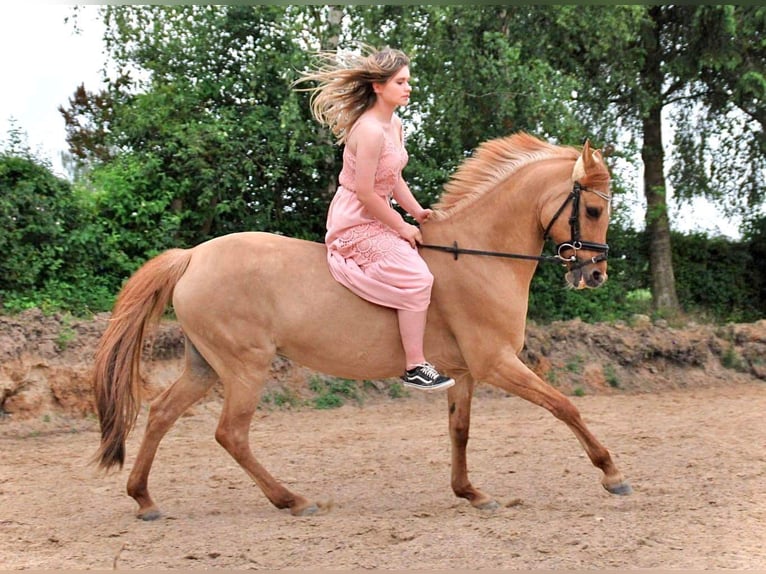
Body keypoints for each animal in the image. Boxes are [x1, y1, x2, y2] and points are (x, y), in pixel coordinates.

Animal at [93, 133, 632, 520]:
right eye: (593, 209)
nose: (595, 275)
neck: (479, 255)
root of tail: (191, 256)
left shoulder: (466, 371)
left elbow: (459, 430)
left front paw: (470, 493)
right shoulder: (496, 362)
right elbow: (564, 406)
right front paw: (612, 474)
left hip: (206, 365)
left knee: (162, 413)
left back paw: (144, 500)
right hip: (245, 366)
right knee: (231, 434)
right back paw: (292, 500)